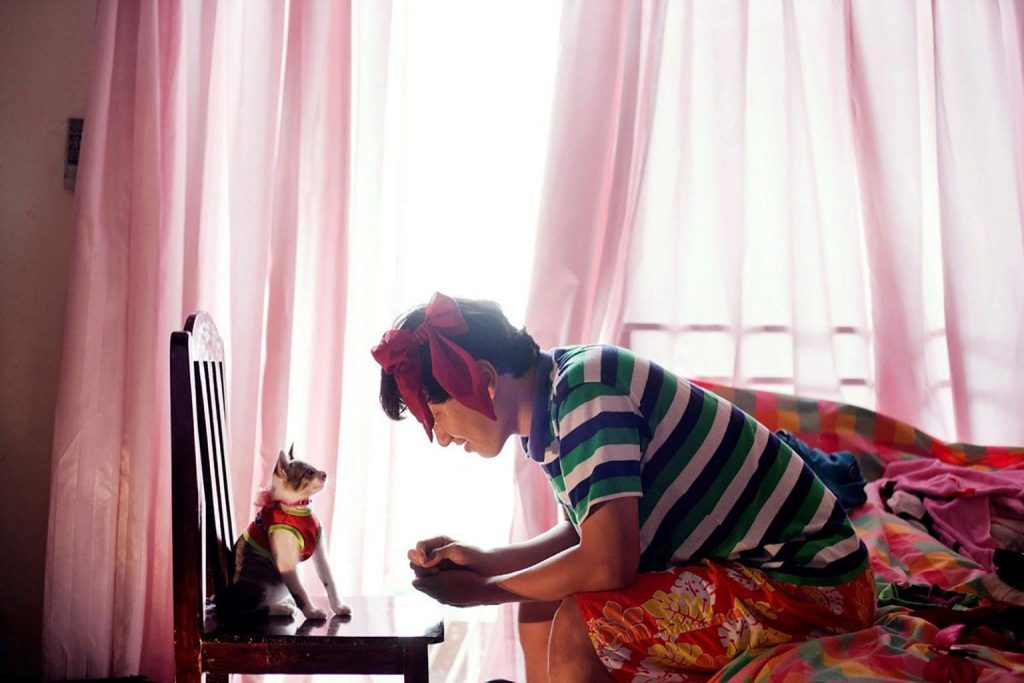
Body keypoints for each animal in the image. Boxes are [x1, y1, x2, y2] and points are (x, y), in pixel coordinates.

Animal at [218, 446, 350, 622]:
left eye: (314, 467)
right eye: (309, 472)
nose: (324, 473)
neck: (298, 507)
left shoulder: (321, 556)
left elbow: (330, 580)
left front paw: (338, 607)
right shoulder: (285, 564)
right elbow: (300, 591)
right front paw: (312, 612)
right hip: (261, 579)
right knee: (249, 610)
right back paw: (283, 608)